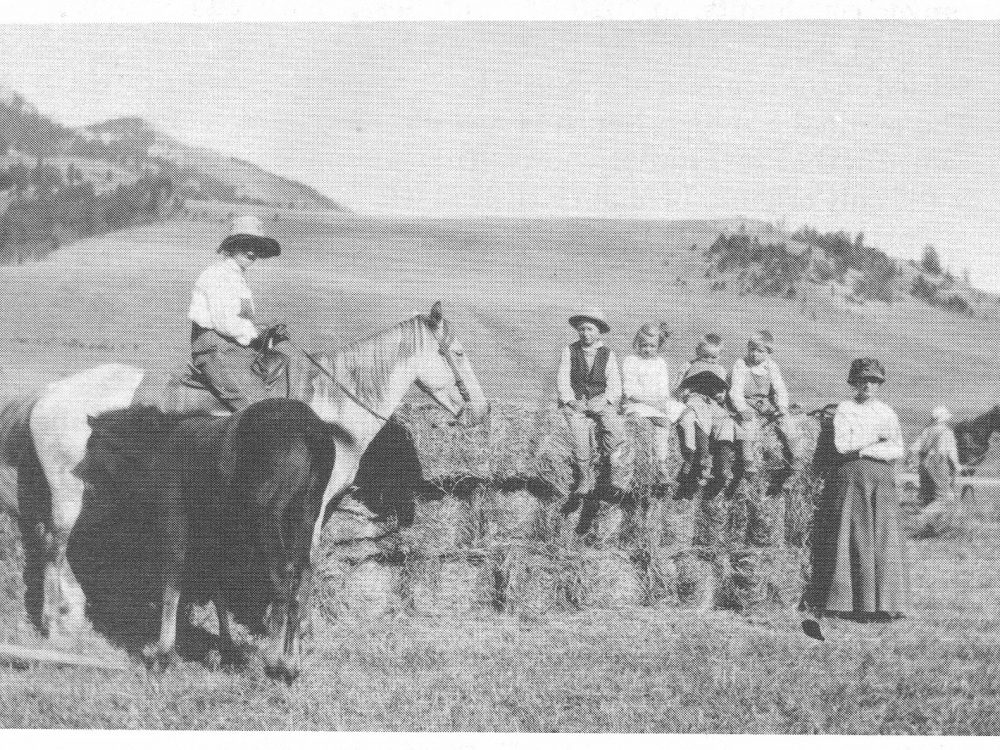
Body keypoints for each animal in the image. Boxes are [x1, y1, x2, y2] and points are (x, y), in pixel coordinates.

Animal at [0, 302, 484, 644]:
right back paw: (55, 624)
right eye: (458, 353)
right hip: (69, 494)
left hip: (94, 495)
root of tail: (48, 393)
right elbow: (298, 561)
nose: (482, 411)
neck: (331, 413)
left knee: (60, 544)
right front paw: (287, 627)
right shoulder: (304, 508)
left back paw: (73, 613)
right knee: (53, 544)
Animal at [78, 400, 346, 680]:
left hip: (267, 515)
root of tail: (310, 426)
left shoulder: (175, 521)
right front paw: (227, 647)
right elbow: (217, 587)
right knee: (304, 574)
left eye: (92, 445)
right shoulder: (212, 536)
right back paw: (292, 661)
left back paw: (275, 661)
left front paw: (163, 656)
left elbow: (172, 587)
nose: (80, 475)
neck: (158, 445)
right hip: (306, 512)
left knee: (283, 576)